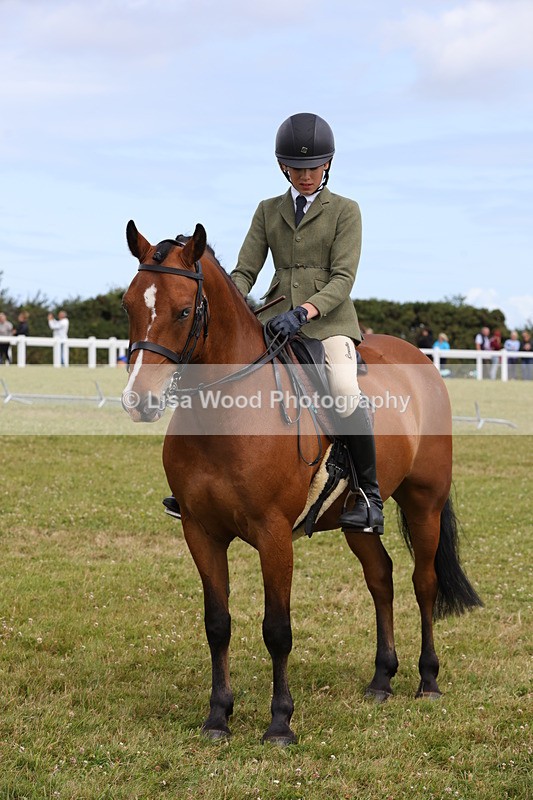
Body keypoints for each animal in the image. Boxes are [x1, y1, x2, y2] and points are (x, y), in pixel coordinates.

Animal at [121, 220, 482, 745]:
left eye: (184, 310)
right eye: (129, 305)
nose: (138, 401)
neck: (224, 415)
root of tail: (418, 357)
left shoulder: (273, 535)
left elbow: (277, 629)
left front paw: (279, 723)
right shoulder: (200, 531)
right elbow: (217, 623)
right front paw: (218, 716)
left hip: (425, 503)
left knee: (424, 581)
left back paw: (428, 680)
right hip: (357, 521)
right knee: (382, 578)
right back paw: (381, 679)